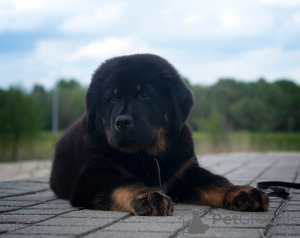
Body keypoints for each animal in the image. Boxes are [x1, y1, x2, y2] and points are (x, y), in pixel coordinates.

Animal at [49, 54, 270, 216]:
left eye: (144, 95)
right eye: (112, 99)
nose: (122, 122)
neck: (148, 155)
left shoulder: (186, 172)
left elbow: (216, 181)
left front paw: (242, 191)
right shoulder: (92, 176)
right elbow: (124, 183)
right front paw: (146, 195)